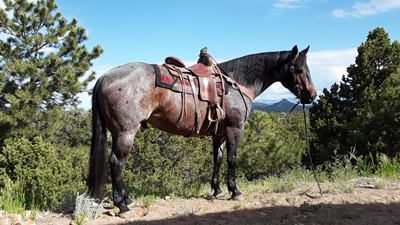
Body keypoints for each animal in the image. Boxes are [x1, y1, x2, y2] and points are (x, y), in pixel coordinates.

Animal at [89, 46, 318, 218]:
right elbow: (232, 159)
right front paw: (234, 191)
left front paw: (217, 190)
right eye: (298, 70)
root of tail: (104, 76)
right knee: (117, 163)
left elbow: (217, 159)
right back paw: (122, 205)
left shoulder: (220, 133)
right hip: (126, 132)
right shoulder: (236, 128)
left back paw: (127, 200)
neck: (237, 82)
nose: (312, 95)